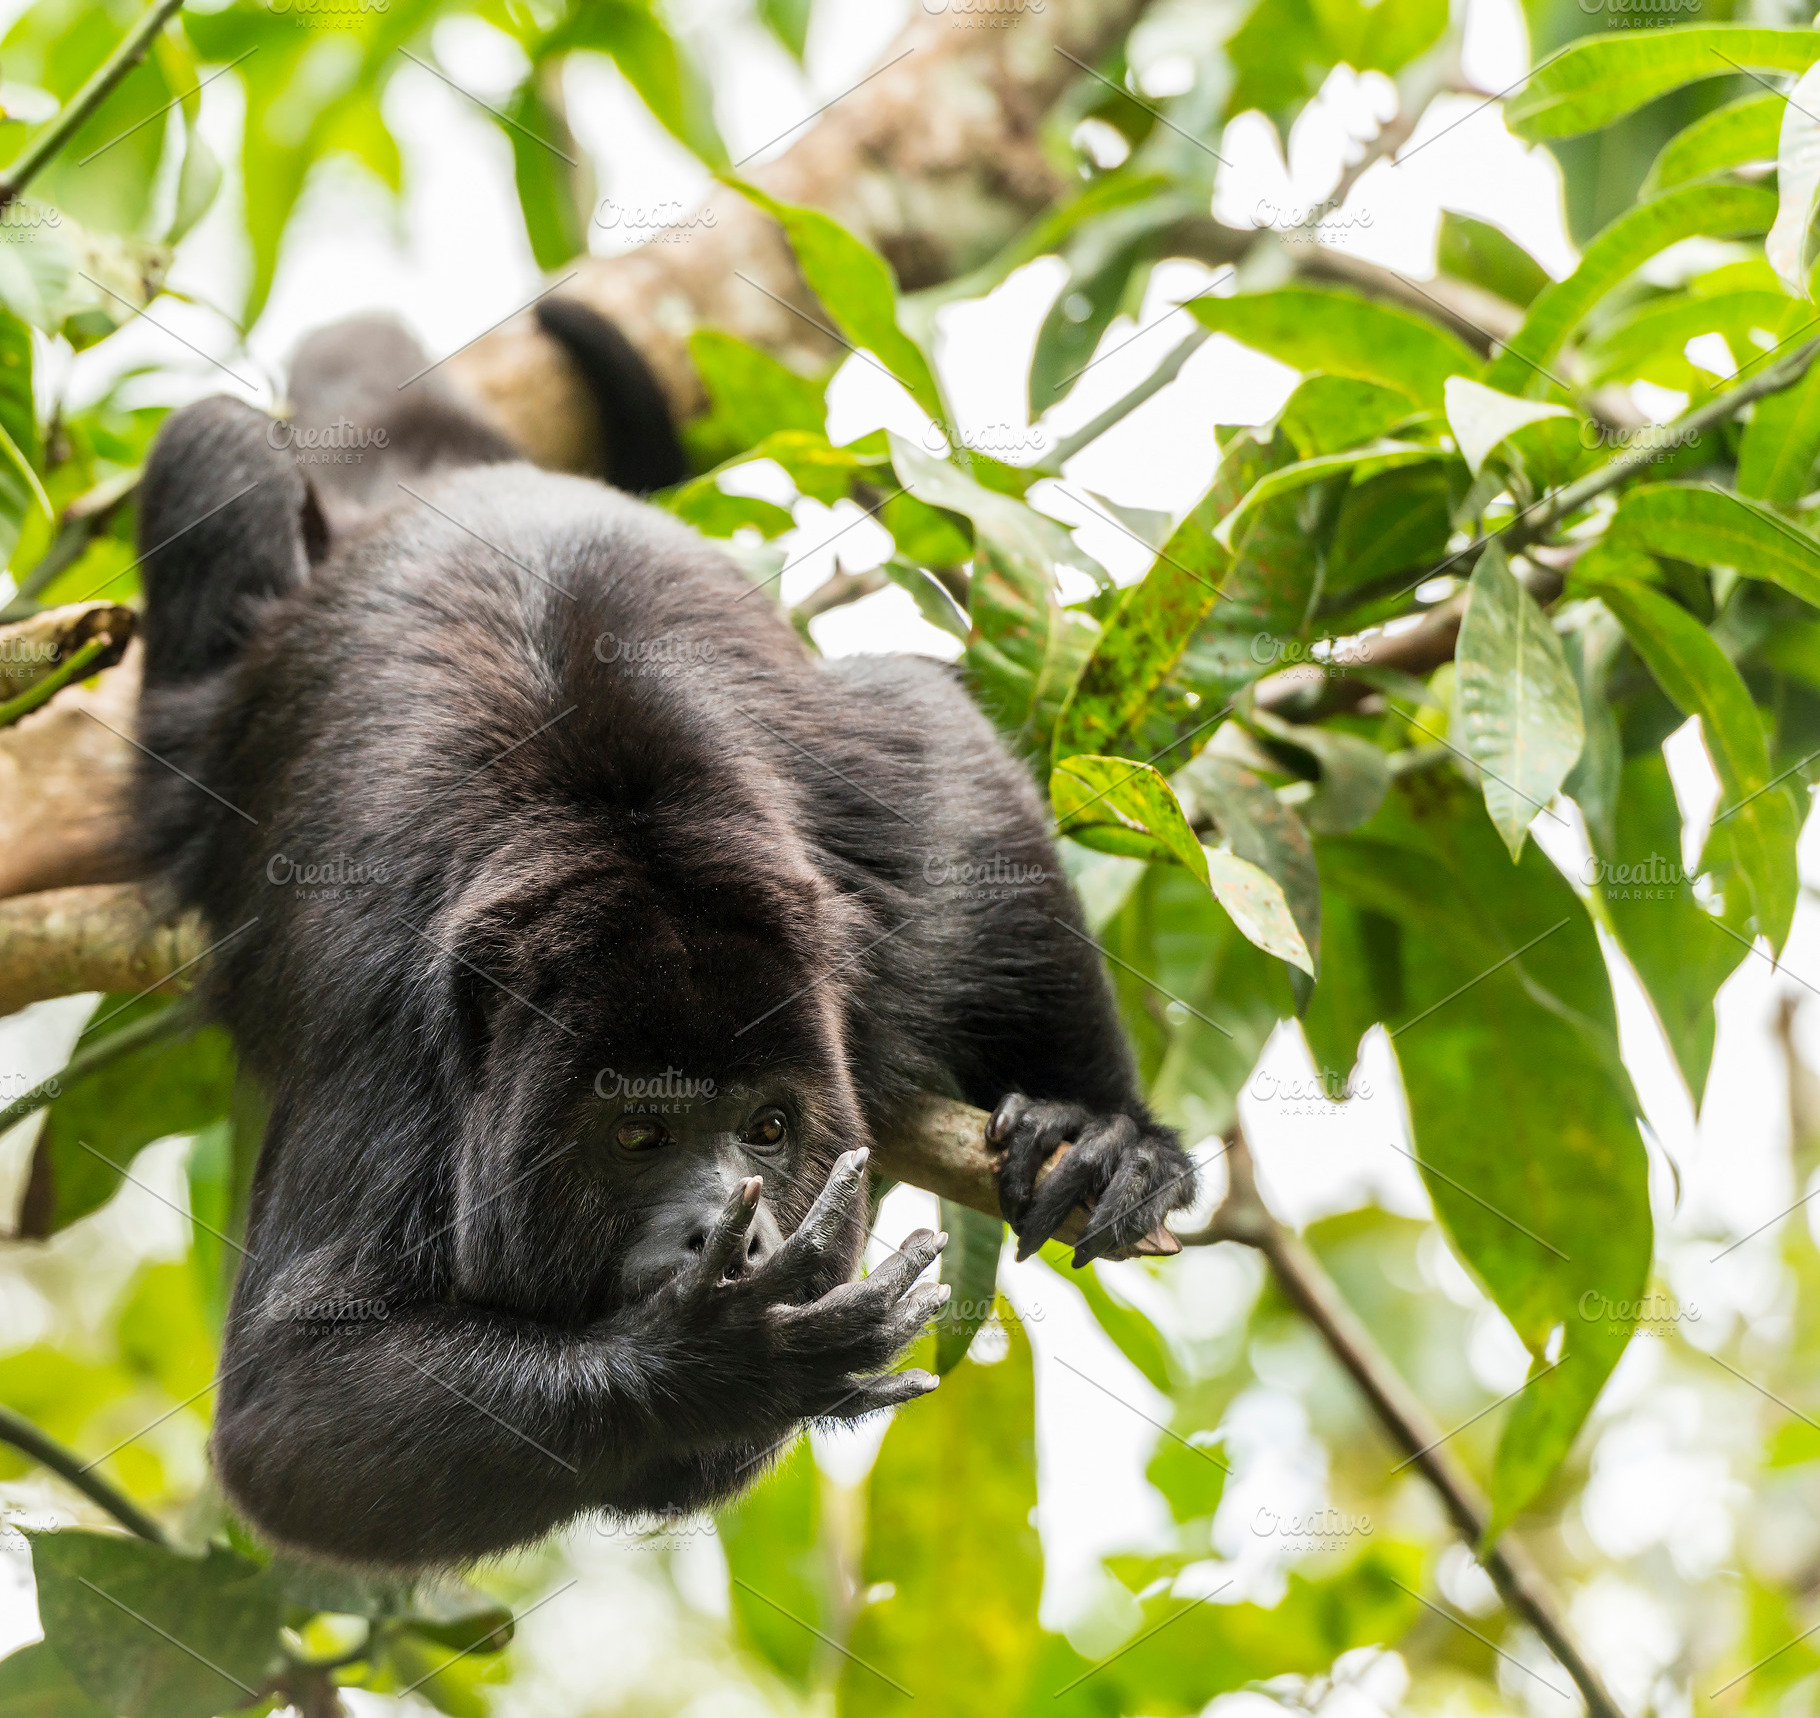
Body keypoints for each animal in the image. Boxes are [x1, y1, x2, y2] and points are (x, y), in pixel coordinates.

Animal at [128, 303, 1199, 1568]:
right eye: (637, 1131)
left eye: (768, 1127)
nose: (730, 1239)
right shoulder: (379, 1019)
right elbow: (287, 1414)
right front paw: (720, 1359)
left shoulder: (868, 876)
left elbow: (943, 757)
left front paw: (1098, 1123)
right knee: (218, 440)